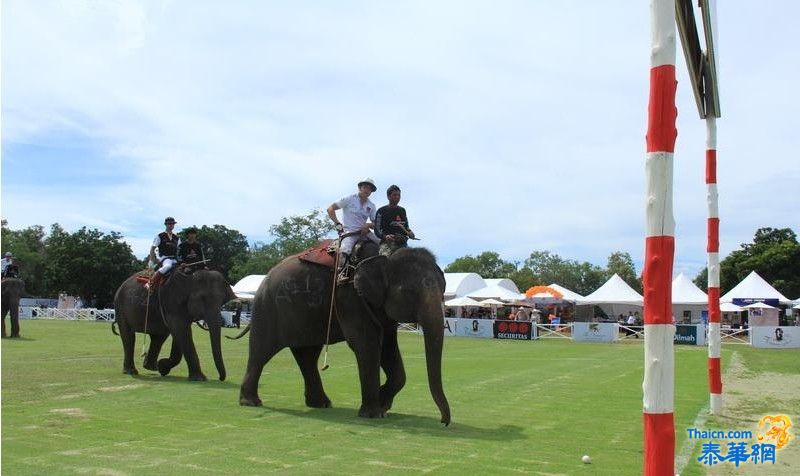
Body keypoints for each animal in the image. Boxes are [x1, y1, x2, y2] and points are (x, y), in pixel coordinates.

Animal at [238, 244, 450, 426]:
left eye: (443, 290)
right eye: (410, 291)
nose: (444, 422)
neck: (386, 255)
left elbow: (388, 347)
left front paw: (383, 404)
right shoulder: (350, 297)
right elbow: (367, 343)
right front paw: (374, 413)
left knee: (307, 355)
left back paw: (321, 404)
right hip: (267, 307)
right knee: (261, 352)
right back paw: (251, 402)